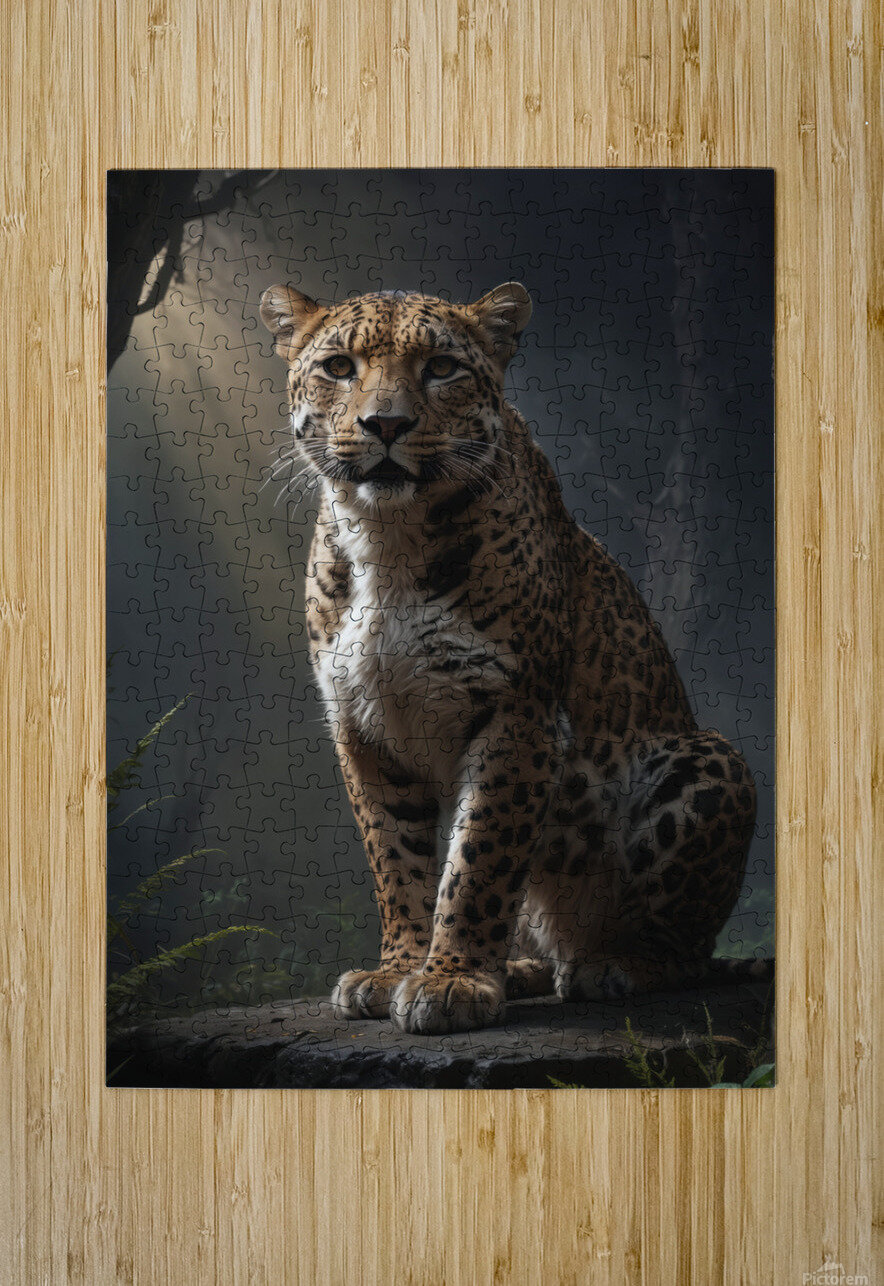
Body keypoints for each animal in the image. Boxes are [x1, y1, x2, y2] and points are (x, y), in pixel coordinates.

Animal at [259, 280, 763, 1036]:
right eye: (339, 367)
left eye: (441, 368)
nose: (385, 425)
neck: (387, 536)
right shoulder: (363, 727)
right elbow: (396, 861)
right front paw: (398, 968)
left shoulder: (515, 715)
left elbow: (478, 860)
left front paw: (451, 980)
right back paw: (525, 969)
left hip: (709, 758)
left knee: (685, 951)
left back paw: (613, 966)